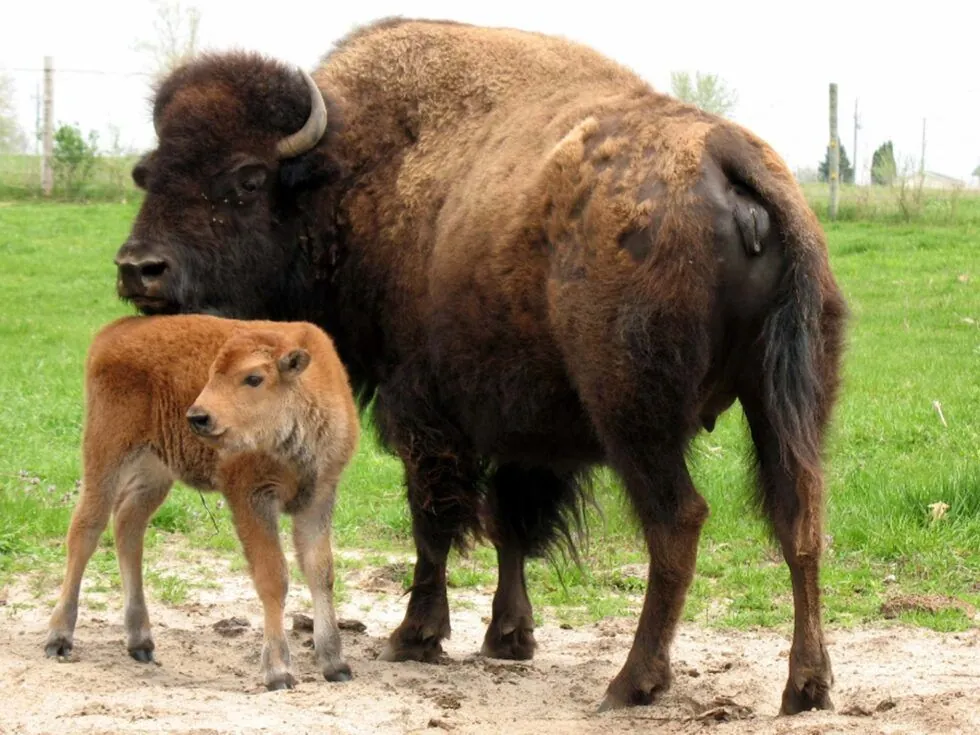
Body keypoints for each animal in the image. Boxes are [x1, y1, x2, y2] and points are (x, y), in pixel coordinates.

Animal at [44, 314, 360, 690]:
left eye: (254, 378)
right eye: (211, 373)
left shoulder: (319, 498)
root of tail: (117, 329)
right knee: (86, 529)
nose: (198, 417)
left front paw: (336, 664)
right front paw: (278, 672)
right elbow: (273, 577)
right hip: (106, 452)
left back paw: (140, 642)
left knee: (128, 527)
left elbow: (321, 572)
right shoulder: (251, 498)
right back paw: (59, 638)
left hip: (154, 470)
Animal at [111, 17, 847, 713]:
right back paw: (806, 686)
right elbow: (510, 525)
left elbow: (435, 519)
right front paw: (508, 637)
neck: (351, 174)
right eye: (148, 173)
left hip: (637, 415)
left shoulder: (424, 411)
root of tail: (729, 157)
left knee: (677, 522)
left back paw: (632, 682)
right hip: (786, 401)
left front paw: (415, 635)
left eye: (248, 178)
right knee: (800, 520)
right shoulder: (525, 427)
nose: (140, 268)